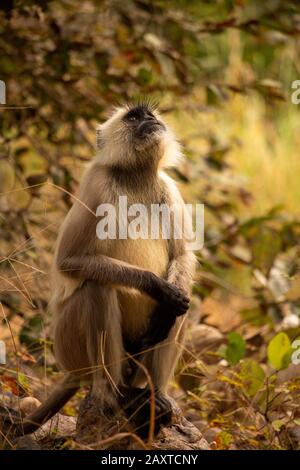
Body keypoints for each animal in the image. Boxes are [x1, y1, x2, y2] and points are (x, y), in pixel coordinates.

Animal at [15, 102, 197, 436]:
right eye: (134, 117)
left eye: (150, 115)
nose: (150, 119)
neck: (135, 175)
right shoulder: (97, 183)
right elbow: (69, 260)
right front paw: (157, 287)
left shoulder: (167, 187)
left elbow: (183, 256)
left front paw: (169, 300)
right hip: (69, 346)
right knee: (97, 287)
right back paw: (114, 393)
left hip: (136, 360)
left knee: (184, 303)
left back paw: (157, 396)